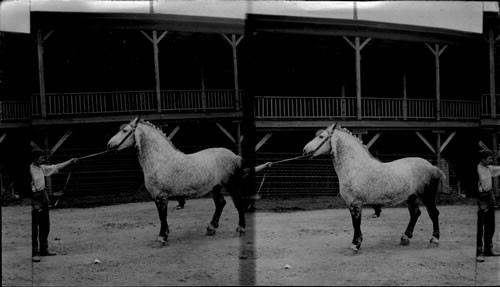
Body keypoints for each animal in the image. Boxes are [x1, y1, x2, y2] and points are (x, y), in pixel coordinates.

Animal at [106, 116, 247, 243]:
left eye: (125, 130)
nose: (109, 145)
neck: (160, 160)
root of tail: (235, 156)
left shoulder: (161, 195)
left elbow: (162, 215)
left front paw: (162, 236)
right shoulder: (156, 196)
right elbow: (161, 215)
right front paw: (165, 234)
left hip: (231, 186)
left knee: (238, 203)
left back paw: (240, 228)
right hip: (215, 188)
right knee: (220, 204)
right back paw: (211, 228)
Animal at [302, 122, 444, 253]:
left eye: (321, 136)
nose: (304, 151)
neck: (355, 167)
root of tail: (433, 167)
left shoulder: (355, 203)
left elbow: (356, 223)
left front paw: (355, 244)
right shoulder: (350, 204)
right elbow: (355, 223)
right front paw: (357, 243)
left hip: (427, 196)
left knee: (433, 213)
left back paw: (434, 239)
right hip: (411, 197)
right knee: (415, 213)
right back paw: (405, 237)